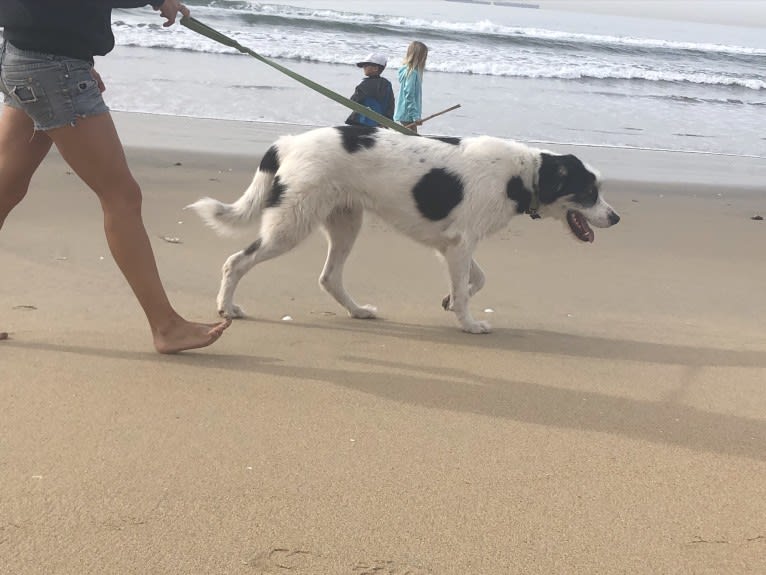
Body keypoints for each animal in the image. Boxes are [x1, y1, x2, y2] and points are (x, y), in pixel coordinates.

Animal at [189, 126, 620, 332]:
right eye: (589, 192)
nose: (616, 218)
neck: (524, 175)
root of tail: (289, 143)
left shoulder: (454, 245)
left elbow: (475, 280)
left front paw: (451, 300)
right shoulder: (461, 245)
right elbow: (469, 289)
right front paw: (468, 323)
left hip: (345, 221)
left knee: (330, 277)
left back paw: (358, 311)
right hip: (290, 224)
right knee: (236, 261)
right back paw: (226, 307)